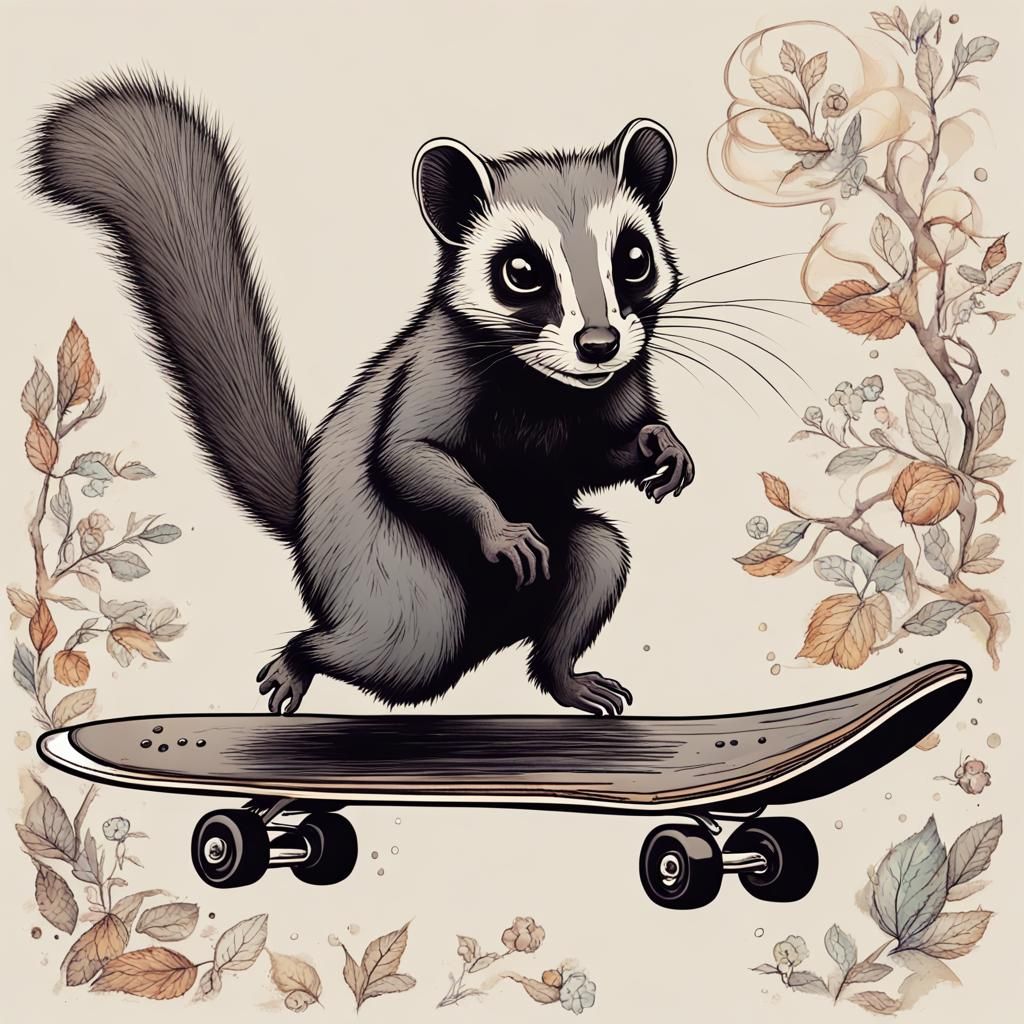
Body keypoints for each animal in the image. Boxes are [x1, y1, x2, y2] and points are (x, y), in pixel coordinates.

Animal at [27, 72, 695, 717]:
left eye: (634, 257)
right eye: (522, 271)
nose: (599, 343)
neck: (547, 391)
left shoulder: (614, 393)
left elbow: (598, 455)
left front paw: (661, 444)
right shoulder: (435, 371)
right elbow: (407, 454)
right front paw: (496, 526)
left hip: (540, 555)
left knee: (597, 557)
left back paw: (563, 676)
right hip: (390, 577)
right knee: (408, 644)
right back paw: (301, 654)